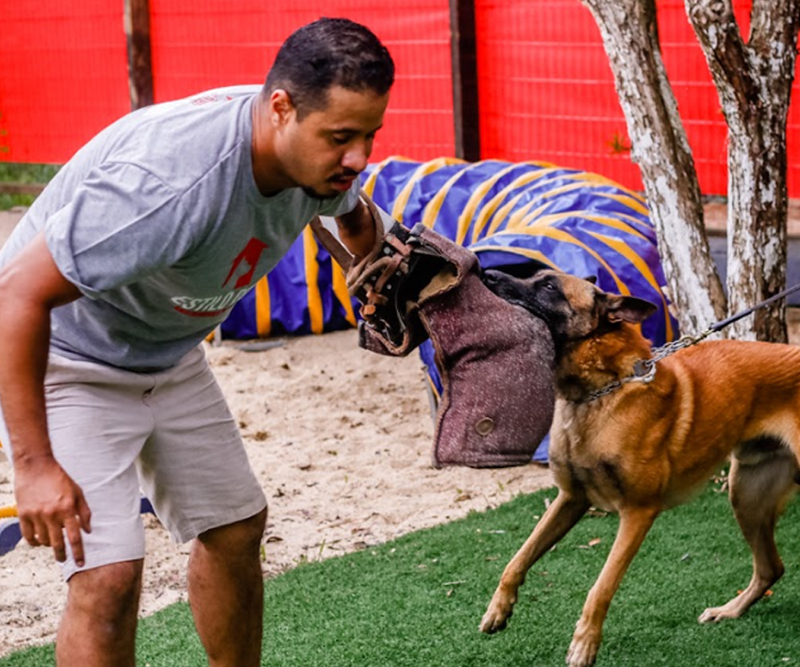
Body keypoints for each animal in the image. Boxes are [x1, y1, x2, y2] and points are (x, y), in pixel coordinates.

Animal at [478, 268, 796, 667]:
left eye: (549, 286)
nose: (488, 273)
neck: (600, 395)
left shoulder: (638, 512)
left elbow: (600, 586)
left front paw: (584, 643)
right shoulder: (570, 499)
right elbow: (517, 558)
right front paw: (498, 609)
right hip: (746, 497)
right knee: (771, 567)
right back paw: (730, 610)